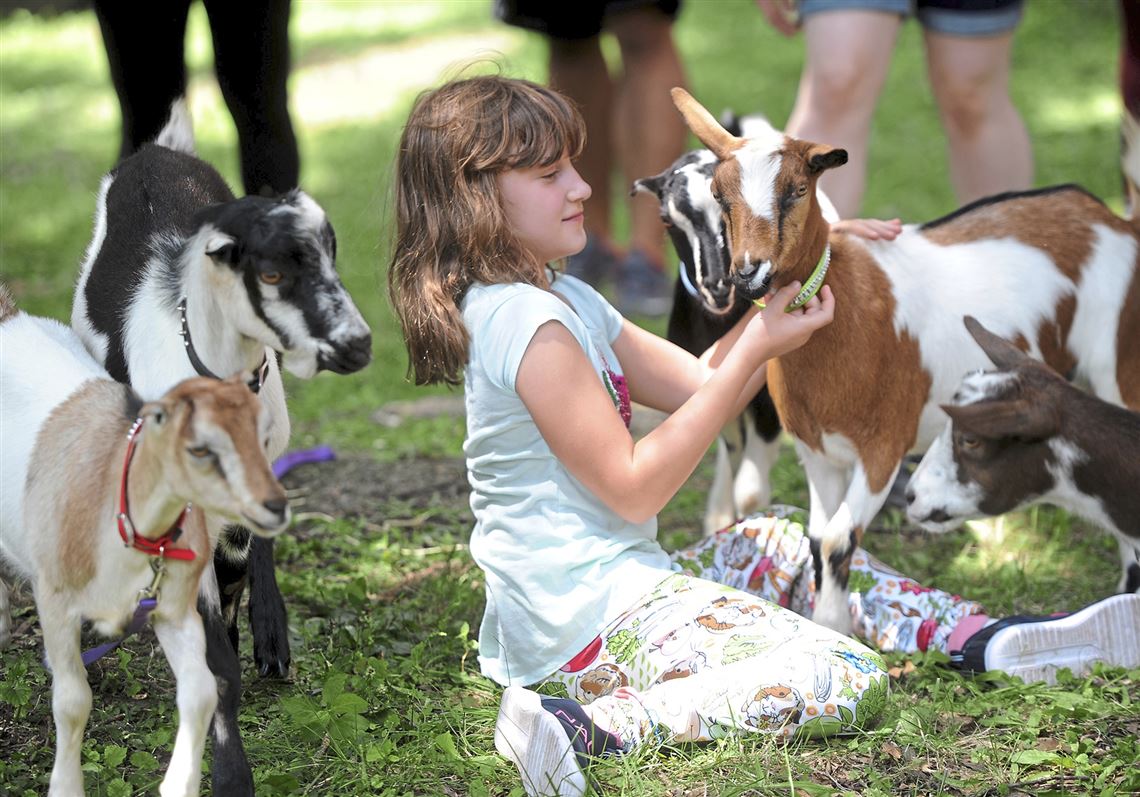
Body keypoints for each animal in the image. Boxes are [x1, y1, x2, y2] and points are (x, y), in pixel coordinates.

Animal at [0, 287, 289, 797]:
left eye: (260, 437)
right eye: (201, 449)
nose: (273, 505)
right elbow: (72, 701)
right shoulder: (54, 598)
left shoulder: (175, 603)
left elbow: (203, 687)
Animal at [68, 102, 369, 793]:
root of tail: (159, 151)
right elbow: (213, 654)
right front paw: (230, 773)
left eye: (332, 257)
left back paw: (272, 637)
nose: (358, 343)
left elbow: (235, 578)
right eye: (272, 270)